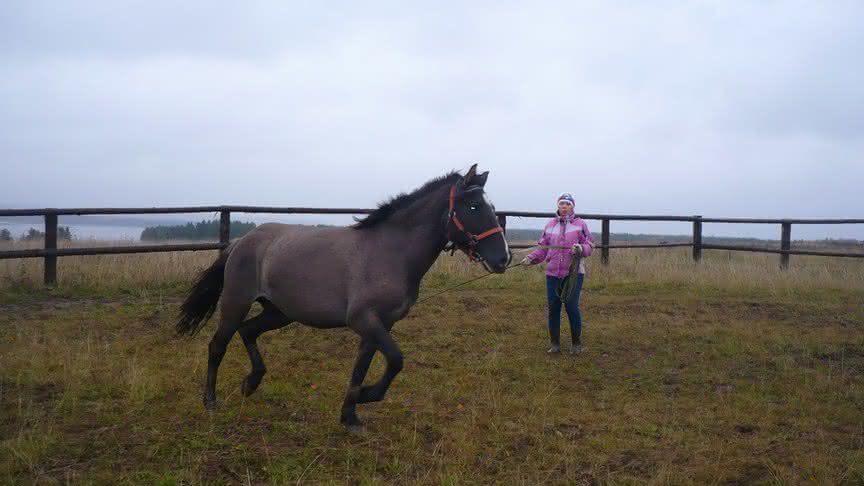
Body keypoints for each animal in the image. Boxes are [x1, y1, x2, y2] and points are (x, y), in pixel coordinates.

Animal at [178, 165, 510, 428]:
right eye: (473, 206)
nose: (502, 258)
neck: (389, 252)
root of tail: (241, 241)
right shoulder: (363, 320)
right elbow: (396, 360)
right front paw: (364, 397)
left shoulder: (379, 325)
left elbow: (363, 367)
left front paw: (350, 414)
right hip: (236, 303)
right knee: (217, 346)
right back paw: (210, 401)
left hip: (279, 312)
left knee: (248, 332)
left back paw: (250, 383)